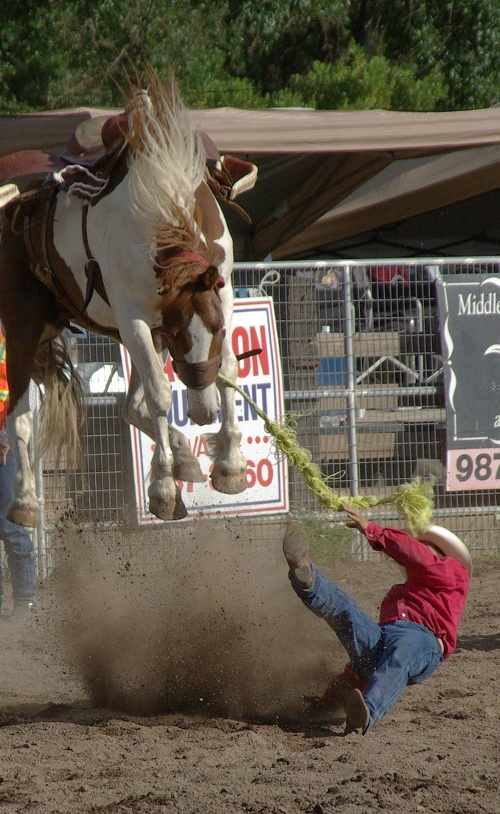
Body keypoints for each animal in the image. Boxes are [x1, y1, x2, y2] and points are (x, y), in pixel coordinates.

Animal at [0, 73, 258, 524]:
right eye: (178, 335)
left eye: (216, 330)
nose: (203, 413)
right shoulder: (136, 319)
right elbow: (159, 392)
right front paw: (165, 490)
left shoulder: (217, 297)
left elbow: (226, 367)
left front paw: (229, 466)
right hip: (23, 327)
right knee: (21, 419)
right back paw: (26, 501)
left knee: (130, 407)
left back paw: (185, 459)